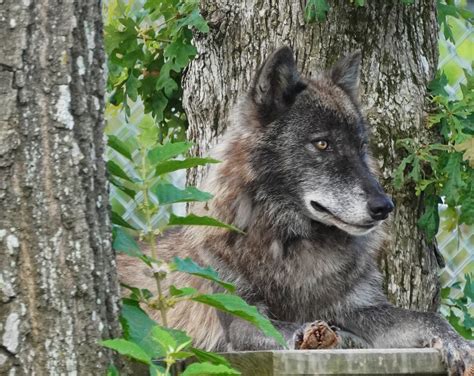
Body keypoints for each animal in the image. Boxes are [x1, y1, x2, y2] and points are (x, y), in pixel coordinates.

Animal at [116, 46, 472, 374]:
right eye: (322, 144)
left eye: (360, 147)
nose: (384, 207)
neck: (291, 245)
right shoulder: (240, 316)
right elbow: (285, 328)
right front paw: (333, 336)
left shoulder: (359, 307)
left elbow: (425, 316)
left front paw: (458, 344)